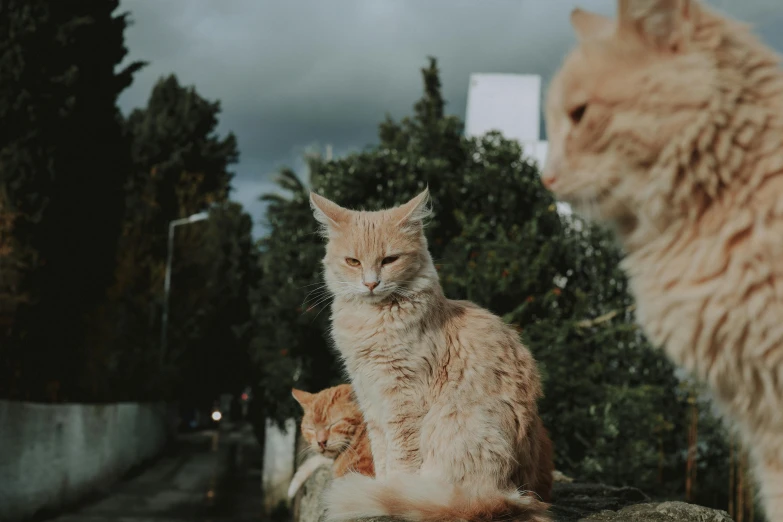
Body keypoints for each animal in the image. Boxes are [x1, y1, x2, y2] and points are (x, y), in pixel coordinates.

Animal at [308, 190, 552, 520]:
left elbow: (400, 458)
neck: (372, 320)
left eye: (389, 260)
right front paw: (382, 487)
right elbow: (382, 454)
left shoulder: (404, 400)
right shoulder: (370, 398)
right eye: (353, 261)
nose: (371, 283)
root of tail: (505, 496)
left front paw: (391, 493)